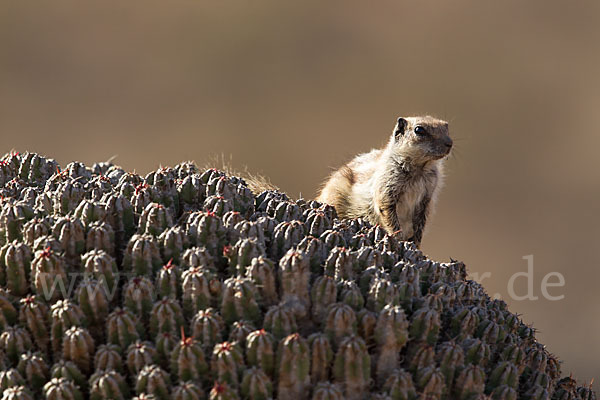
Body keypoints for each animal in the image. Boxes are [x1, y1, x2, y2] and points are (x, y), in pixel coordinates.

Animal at [318, 115, 450, 245]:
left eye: (446, 126)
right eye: (419, 130)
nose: (450, 143)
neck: (420, 168)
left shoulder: (427, 198)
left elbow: (420, 222)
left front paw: (415, 243)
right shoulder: (387, 185)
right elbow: (387, 211)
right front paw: (399, 238)